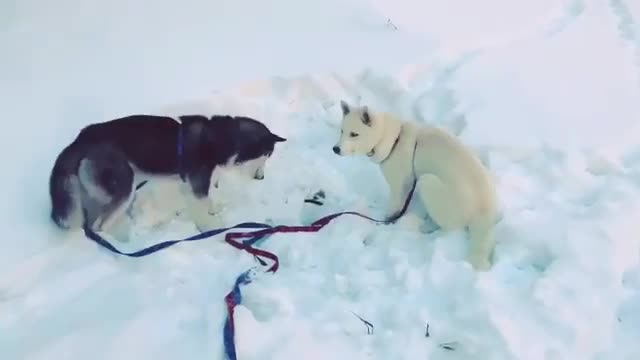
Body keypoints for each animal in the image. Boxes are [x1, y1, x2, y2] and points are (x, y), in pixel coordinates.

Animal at [332, 100, 498, 270]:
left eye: (354, 134)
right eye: (342, 131)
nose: (335, 149)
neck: (393, 140)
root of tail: (485, 210)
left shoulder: (398, 186)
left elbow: (393, 211)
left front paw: (386, 222)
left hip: (427, 181)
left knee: (450, 226)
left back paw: (428, 227)